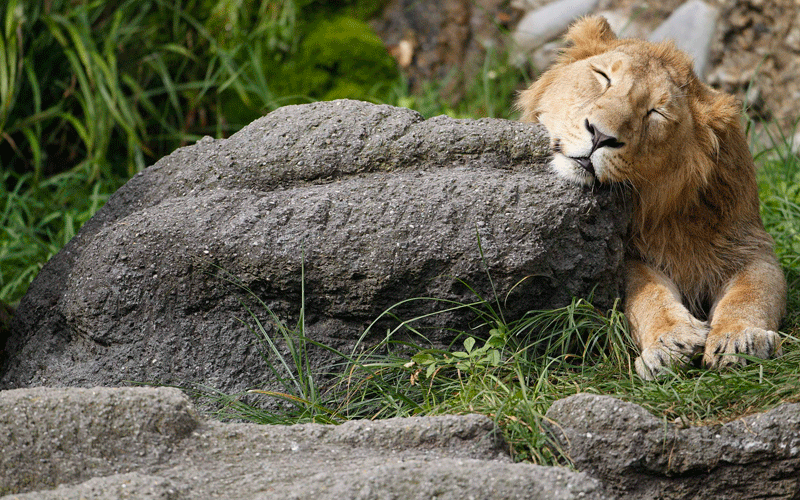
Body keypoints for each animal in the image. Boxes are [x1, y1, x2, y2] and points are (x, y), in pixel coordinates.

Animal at [520, 17, 788, 380]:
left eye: (655, 113)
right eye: (602, 76)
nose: (600, 135)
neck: (659, 206)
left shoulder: (749, 245)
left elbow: (751, 294)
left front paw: (740, 339)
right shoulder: (623, 258)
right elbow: (647, 292)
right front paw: (670, 342)